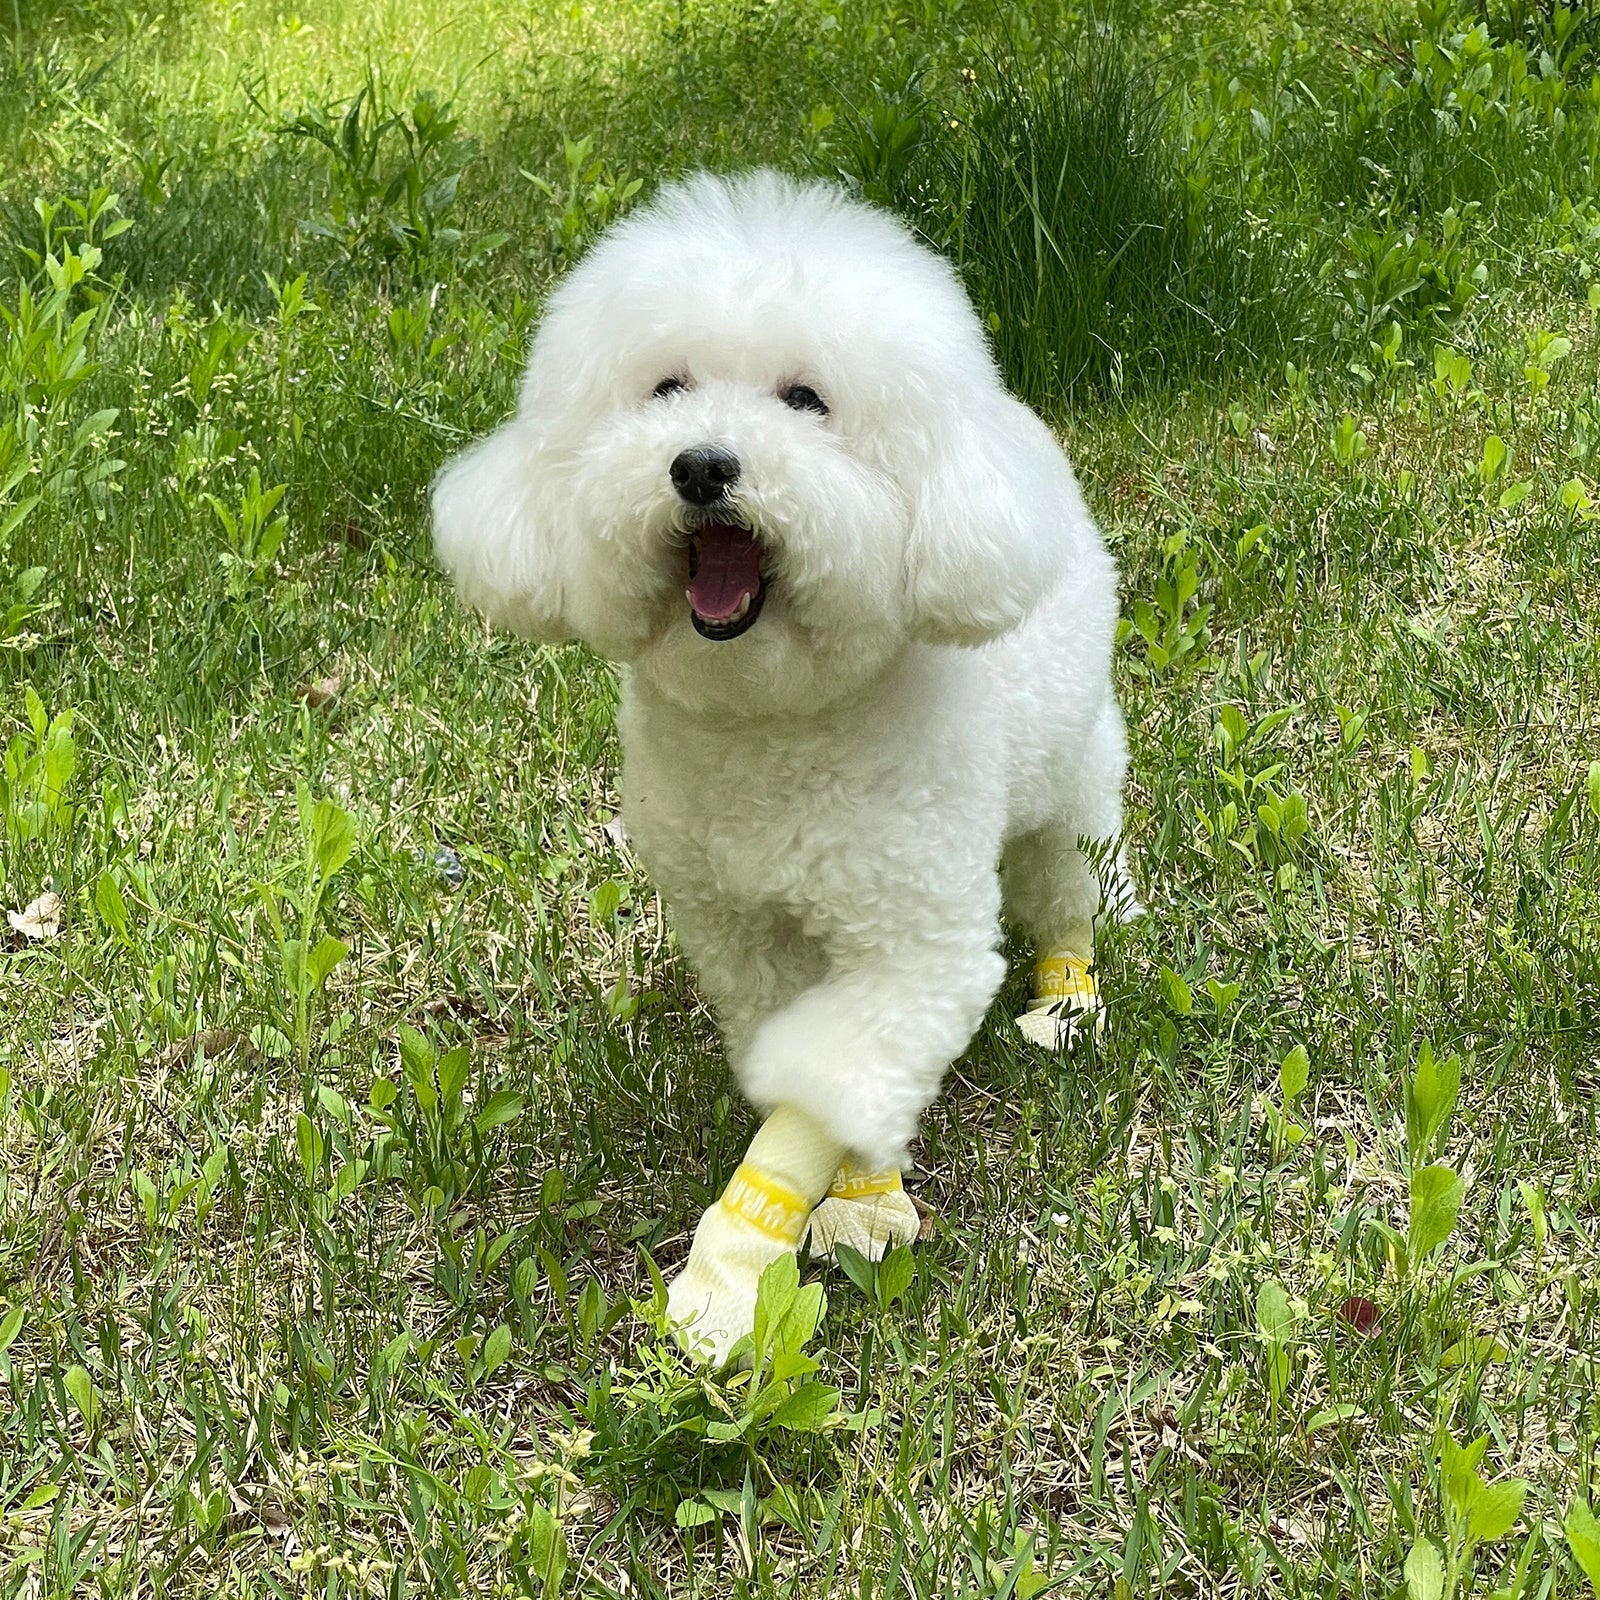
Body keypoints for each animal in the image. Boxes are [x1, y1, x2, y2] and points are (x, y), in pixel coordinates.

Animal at [438, 165, 1132, 1363]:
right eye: (665, 388)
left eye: (807, 400)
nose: (702, 464)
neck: (774, 724)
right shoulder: (740, 933)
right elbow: (797, 1063)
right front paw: (845, 1197)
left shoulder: (915, 947)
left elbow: (831, 1075)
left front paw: (740, 1262)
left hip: (1069, 789)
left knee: (1066, 892)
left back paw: (1064, 999)